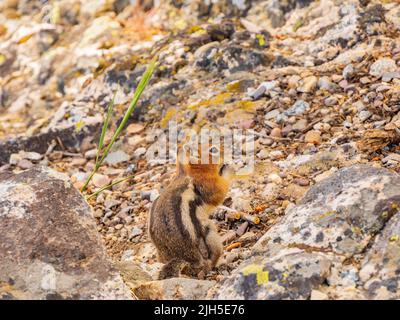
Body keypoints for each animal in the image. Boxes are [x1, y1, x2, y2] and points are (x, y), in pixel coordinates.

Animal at [148, 144, 233, 278]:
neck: (190, 173)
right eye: (213, 150)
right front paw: (229, 170)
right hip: (209, 232)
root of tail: (187, 260)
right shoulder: (207, 185)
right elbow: (220, 192)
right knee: (211, 260)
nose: (228, 150)